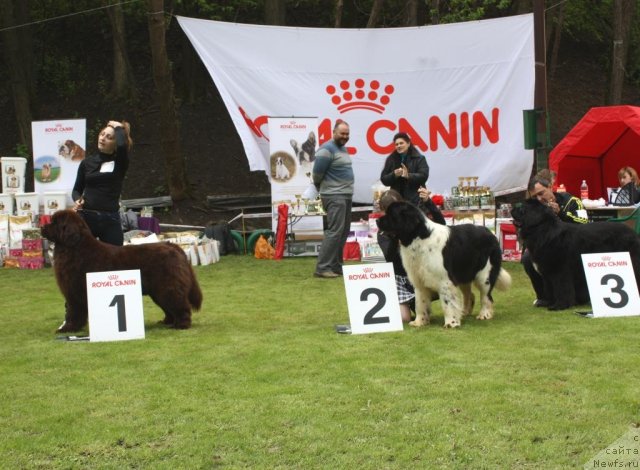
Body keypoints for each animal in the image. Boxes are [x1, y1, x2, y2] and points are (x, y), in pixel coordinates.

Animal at [376, 200, 510, 328]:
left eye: (391, 214)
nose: (377, 220)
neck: (418, 238)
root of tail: (490, 232)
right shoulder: (419, 281)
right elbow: (420, 303)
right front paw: (419, 322)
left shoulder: (445, 280)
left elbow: (447, 302)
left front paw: (451, 323)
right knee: (469, 294)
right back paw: (464, 312)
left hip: (485, 274)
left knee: (486, 296)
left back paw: (484, 314)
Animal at [512, 197, 640, 310]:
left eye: (521, 209)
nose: (512, 209)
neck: (543, 230)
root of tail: (634, 234)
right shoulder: (547, 271)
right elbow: (549, 288)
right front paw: (548, 302)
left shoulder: (560, 270)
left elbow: (561, 288)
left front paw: (559, 306)